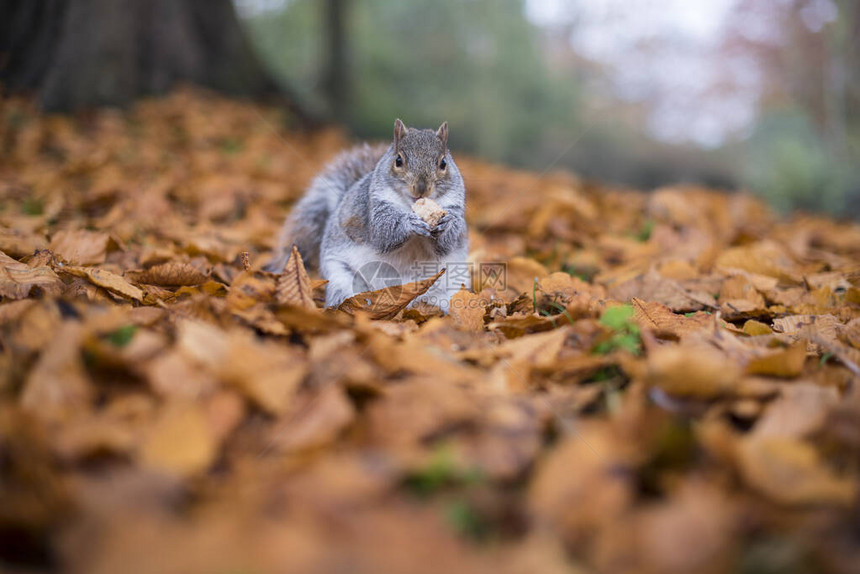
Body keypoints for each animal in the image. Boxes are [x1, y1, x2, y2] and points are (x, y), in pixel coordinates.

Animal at [268, 118, 470, 312]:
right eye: (398, 160)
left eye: (443, 163)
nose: (421, 189)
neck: (410, 205)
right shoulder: (373, 207)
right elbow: (383, 234)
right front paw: (409, 223)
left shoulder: (455, 207)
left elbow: (446, 244)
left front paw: (445, 225)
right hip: (340, 274)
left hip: (452, 287)